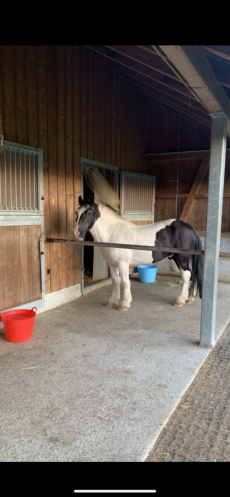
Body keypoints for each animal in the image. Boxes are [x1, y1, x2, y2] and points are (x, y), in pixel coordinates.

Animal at [73, 197, 203, 310]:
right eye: (76, 212)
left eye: (89, 213)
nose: (76, 233)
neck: (112, 233)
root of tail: (191, 229)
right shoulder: (112, 264)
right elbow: (115, 281)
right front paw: (112, 301)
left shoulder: (123, 263)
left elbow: (125, 282)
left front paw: (124, 304)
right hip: (177, 258)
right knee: (191, 275)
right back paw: (188, 298)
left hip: (182, 259)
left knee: (187, 276)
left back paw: (180, 300)